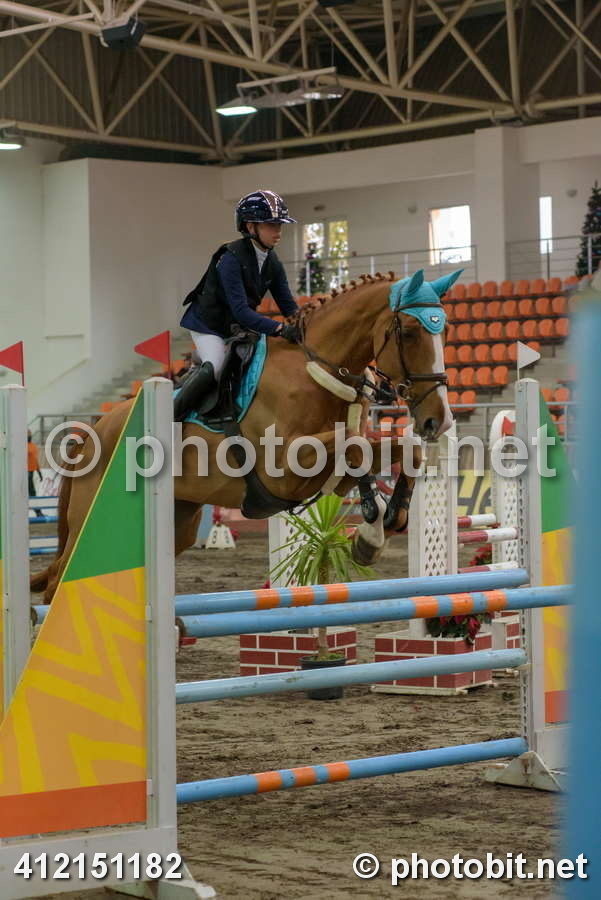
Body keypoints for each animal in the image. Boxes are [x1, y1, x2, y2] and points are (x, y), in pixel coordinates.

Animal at [31, 268, 456, 604]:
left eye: (445, 330)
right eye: (410, 332)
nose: (439, 421)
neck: (318, 372)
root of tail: (94, 431)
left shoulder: (326, 473)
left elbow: (400, 449)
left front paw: (387, 520)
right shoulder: (284, 470)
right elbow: (357, 447)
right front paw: (371, 525)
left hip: (178, 520)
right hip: (90, 517)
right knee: (57, 582)